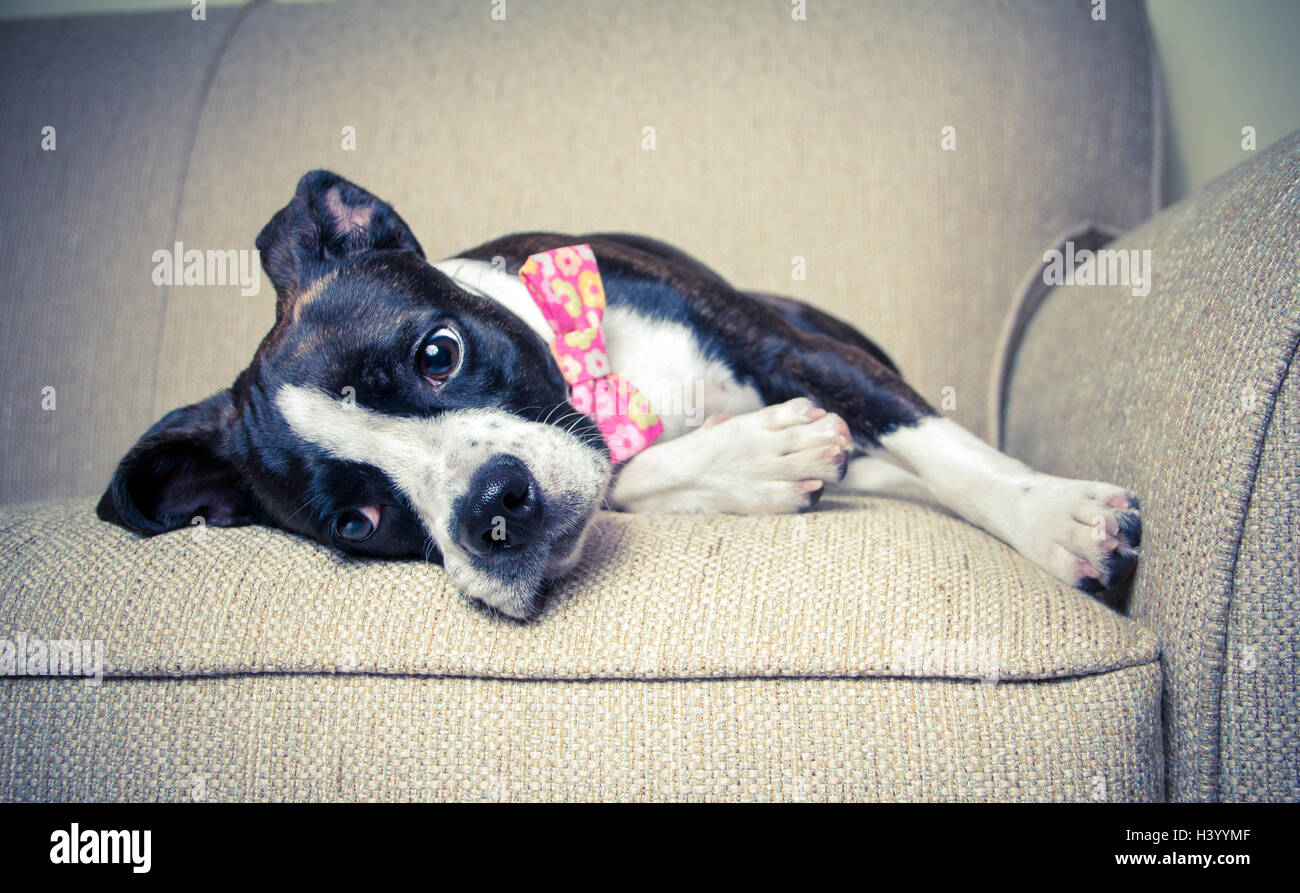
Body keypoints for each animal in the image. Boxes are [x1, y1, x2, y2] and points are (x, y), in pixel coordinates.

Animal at [96, 174, 1144, 621]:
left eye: (439, 353)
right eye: (358, 522)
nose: (490, 508)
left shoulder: (793, 349)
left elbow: (940, 445)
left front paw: (1054, 517)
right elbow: (631, 473)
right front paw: (760, 461)